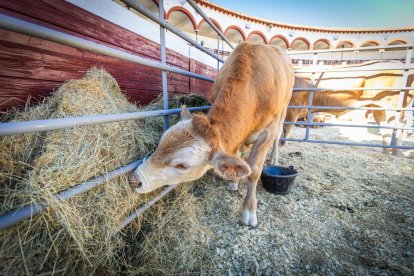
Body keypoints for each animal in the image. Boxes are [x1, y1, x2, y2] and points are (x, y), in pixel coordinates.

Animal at [129, 42, 294, 226]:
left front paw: (250, 210)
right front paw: (234, 181)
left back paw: (273, 159)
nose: (135, 179)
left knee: (279, 135)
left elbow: (254, 171)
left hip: (284, 109)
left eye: (182, 166)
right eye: (160, 144)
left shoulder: (268, 131)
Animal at [284, 60, 414, 155]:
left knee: (398, 128)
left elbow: (285, 130)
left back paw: (396, 153)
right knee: (386, 129)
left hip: (394, 107)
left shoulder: (293, 108)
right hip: (379, 108)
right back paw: (386, 153)